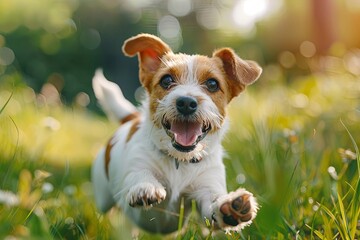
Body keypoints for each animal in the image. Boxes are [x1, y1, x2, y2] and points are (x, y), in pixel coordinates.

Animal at [91, 32, 262, 233]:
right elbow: (139, 175)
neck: (179, 161)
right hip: (103, 197)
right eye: (166, 80)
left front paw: (230, 208)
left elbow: (213, 207)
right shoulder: (137, 164)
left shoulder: (208, 186)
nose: (186, 102)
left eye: (212, 84)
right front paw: (145, 186)